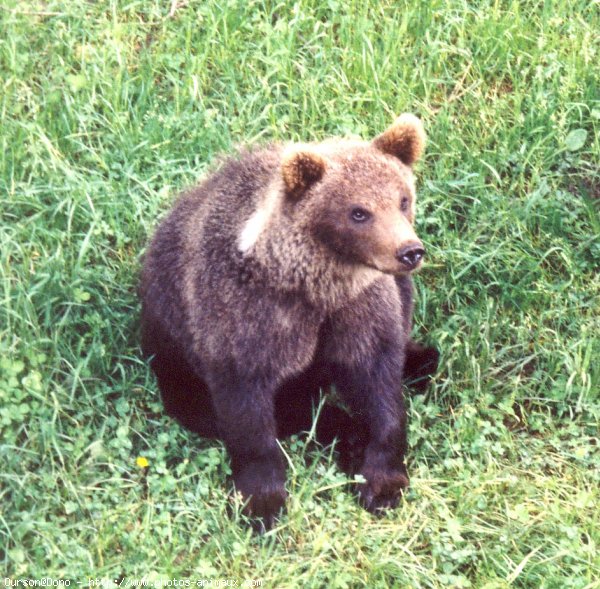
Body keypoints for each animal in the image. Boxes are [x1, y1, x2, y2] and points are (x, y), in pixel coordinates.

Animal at [141, 113, 440, 528]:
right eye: (358, 211)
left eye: (403, 199)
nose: (409, 251)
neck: (313, 287)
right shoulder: (247, 320)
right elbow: (247, 411)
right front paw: (262, 502)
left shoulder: (358, 308)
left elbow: (378, 382)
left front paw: (382, 482)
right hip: (172, 357)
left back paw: (418, 361)